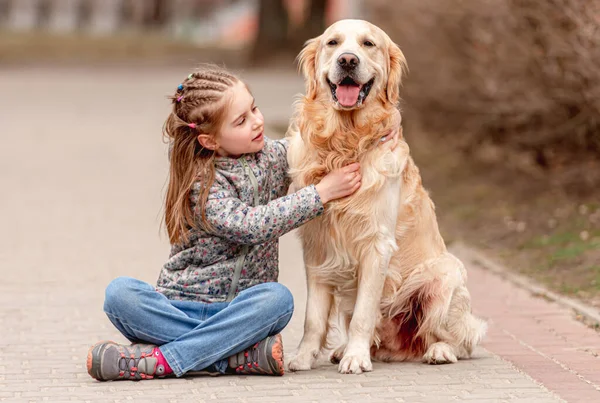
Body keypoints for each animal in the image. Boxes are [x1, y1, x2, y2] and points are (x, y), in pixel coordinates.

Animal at [286, 20, 488, 376]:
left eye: (368, 44)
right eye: (333, 43)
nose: (348, 60)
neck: (345, 142)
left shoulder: (376, 245)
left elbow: (364, 313)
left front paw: (356, 357)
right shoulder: (317, 247)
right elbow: (313, 317)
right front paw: (304, 357)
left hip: (444, 276)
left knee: (460, 340)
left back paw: (438, 351)